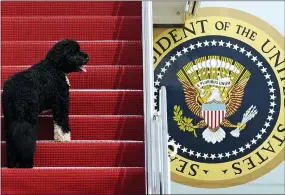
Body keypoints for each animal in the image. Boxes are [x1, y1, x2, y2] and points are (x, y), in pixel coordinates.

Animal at [1, 39, 89, 168]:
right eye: (74, 53)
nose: (87, 57)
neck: (54, 66)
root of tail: (14, 92)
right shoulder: (61, 102)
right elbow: (62, 122)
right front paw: (64, 138)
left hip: (11, 117)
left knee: (12, 141)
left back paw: (12, 164)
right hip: (28, 116)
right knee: (24, 140)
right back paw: (27, 164)